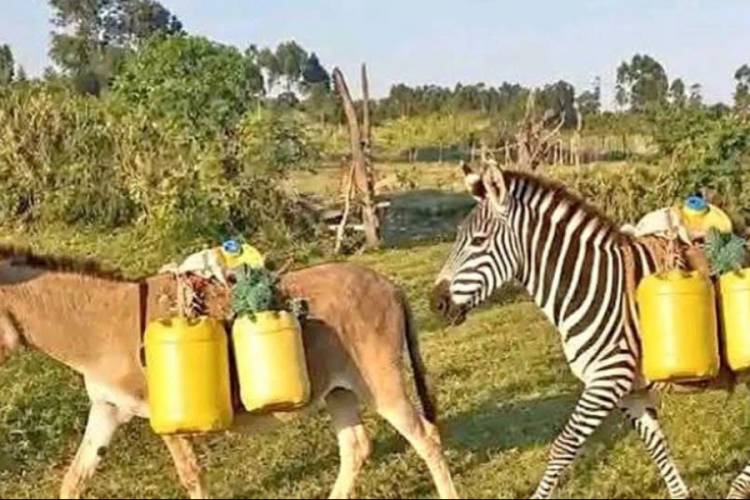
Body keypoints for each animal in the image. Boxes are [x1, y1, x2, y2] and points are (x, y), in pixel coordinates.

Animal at [431, 161, 750, 499]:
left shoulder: (607, 380)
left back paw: (738, 489)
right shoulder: (629, 389)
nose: (434, 303)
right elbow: (656, 445)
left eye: (478, 241)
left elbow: (562, 447)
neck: (594, 285)